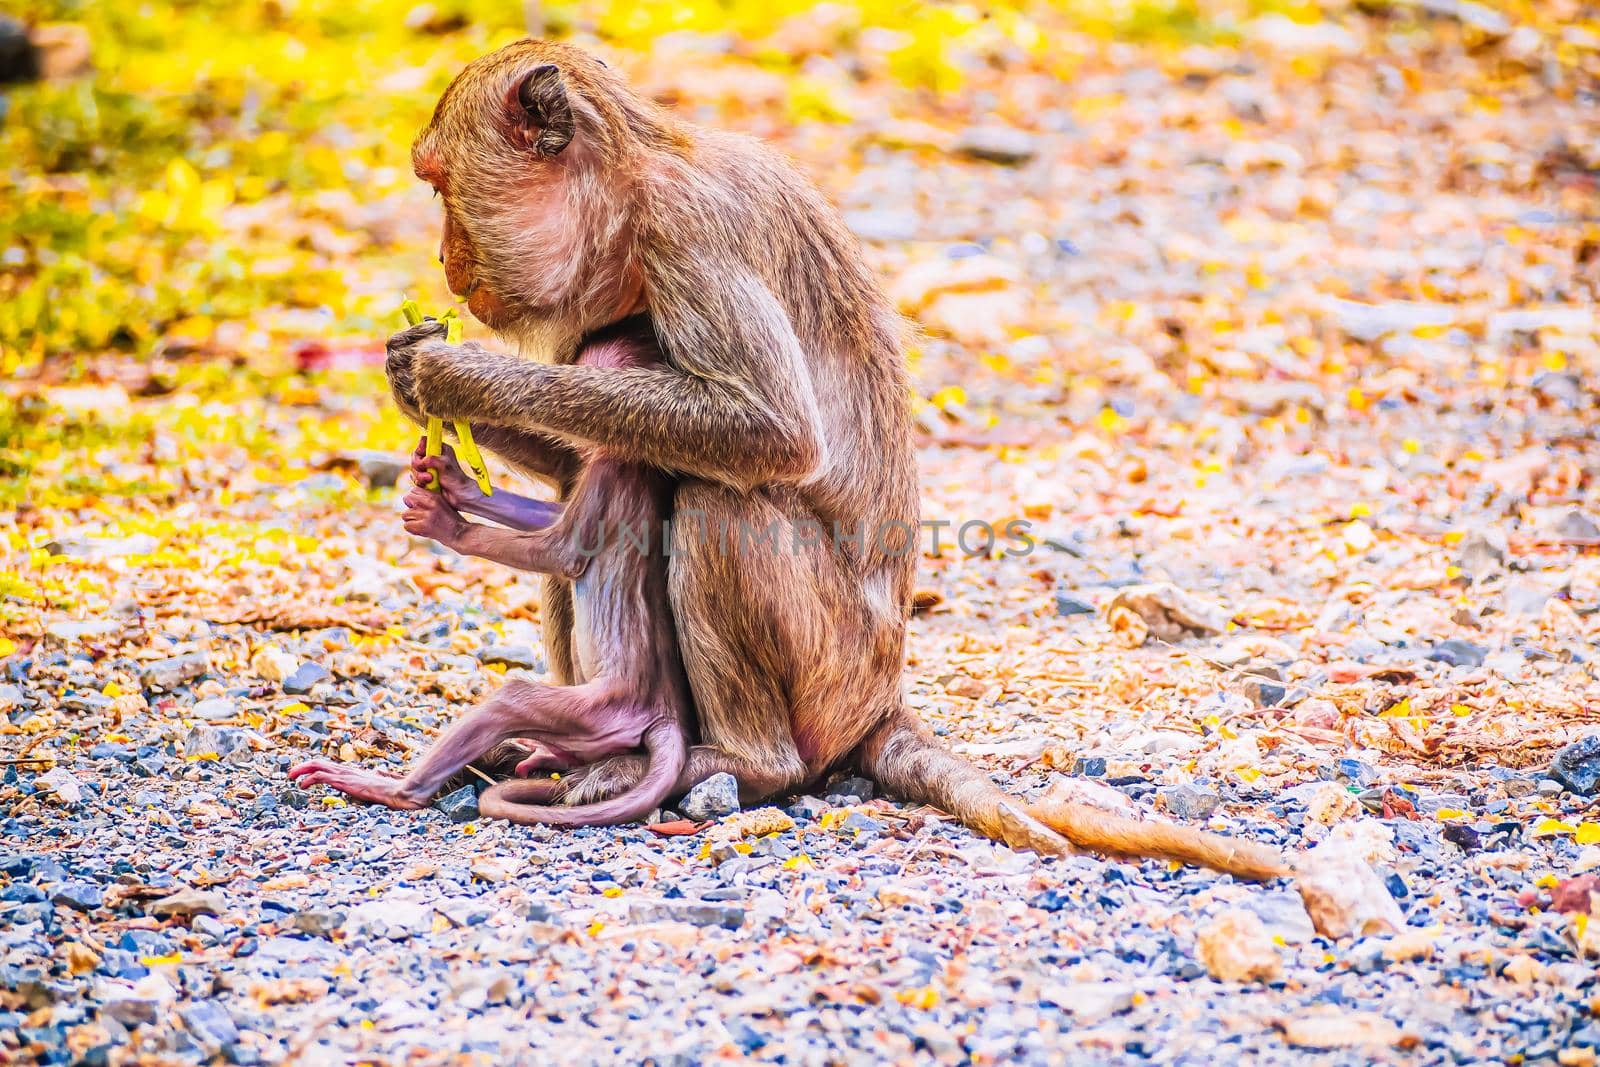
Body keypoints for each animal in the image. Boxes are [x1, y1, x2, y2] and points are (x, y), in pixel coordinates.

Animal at [291, 313, 691, 831]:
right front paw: (455, 480)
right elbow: (550, 520)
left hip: (605, 711)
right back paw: (547, 756)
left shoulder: (613, 461)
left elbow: (562, 553)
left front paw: (447, 523)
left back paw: (396, 790)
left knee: (514, 699)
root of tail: (665, 717)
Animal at [387, 39, 1286, 883]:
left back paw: (733, 762)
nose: (443, 260)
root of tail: (882, 699)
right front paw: (409, 375)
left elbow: (773, 431)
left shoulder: (688, 233)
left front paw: (456, 375)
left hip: (832, 667)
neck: (634, 187)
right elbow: (577, 468)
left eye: (438, 187)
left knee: (722, 502)